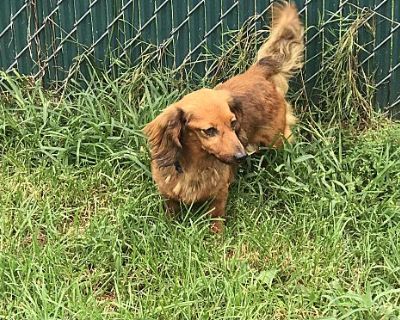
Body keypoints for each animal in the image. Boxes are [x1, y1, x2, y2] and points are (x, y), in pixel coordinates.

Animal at [144, 2, 304, 232]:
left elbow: (216, 219)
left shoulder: (219, 196)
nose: (241, 156)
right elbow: (171, 212)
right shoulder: (168, 195)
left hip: (277, 139)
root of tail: (258, 71)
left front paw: (217, 237)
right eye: (209, 130)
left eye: (233, 123)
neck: (194, 166)